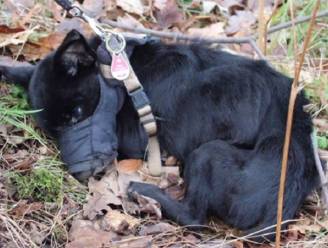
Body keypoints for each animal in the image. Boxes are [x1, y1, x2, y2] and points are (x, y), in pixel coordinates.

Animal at [0, 29, 318, 240]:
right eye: (52, 131)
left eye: (77, 112)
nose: (81, 174)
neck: (123, 76)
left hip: (209, 152)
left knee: (195, 218)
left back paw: (146, 192)